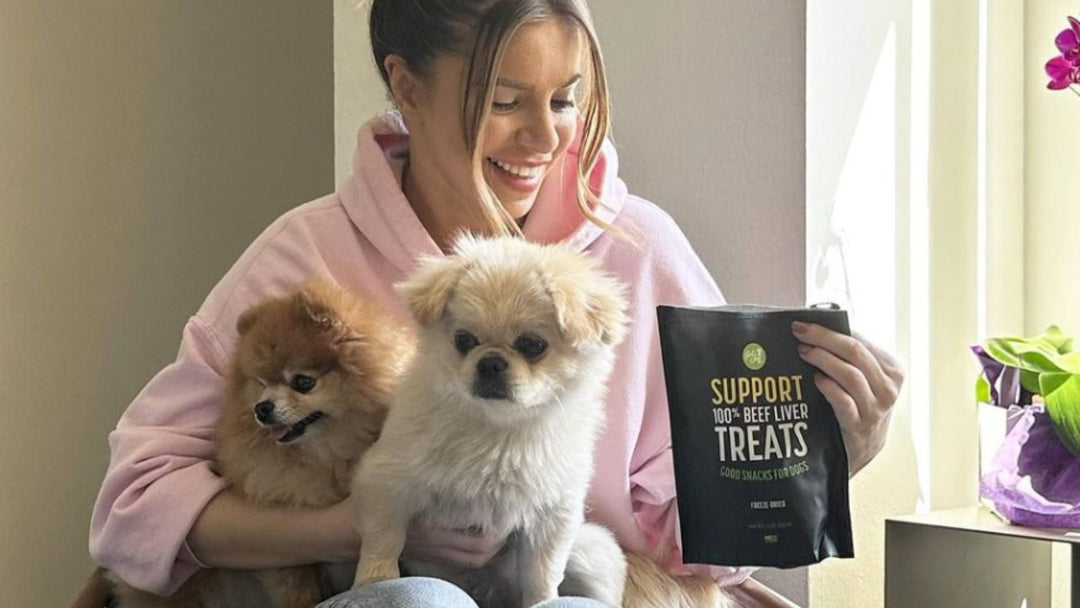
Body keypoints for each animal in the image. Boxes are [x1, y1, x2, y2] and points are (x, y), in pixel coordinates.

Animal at [110, 282, 412, 608]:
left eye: (303, 382)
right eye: (261, 383)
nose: (262, 408)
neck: (326, 453)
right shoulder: (289, 553)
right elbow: (297, 591)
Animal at [349, 235, 738, 608]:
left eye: (532, 345)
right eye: (464, 340)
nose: (490, 362)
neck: (498, 433)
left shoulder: (553, 515)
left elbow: (542, 573)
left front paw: (544, 600)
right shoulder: (387, 481)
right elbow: (384, 540)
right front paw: (374, 579)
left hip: (593, 552)